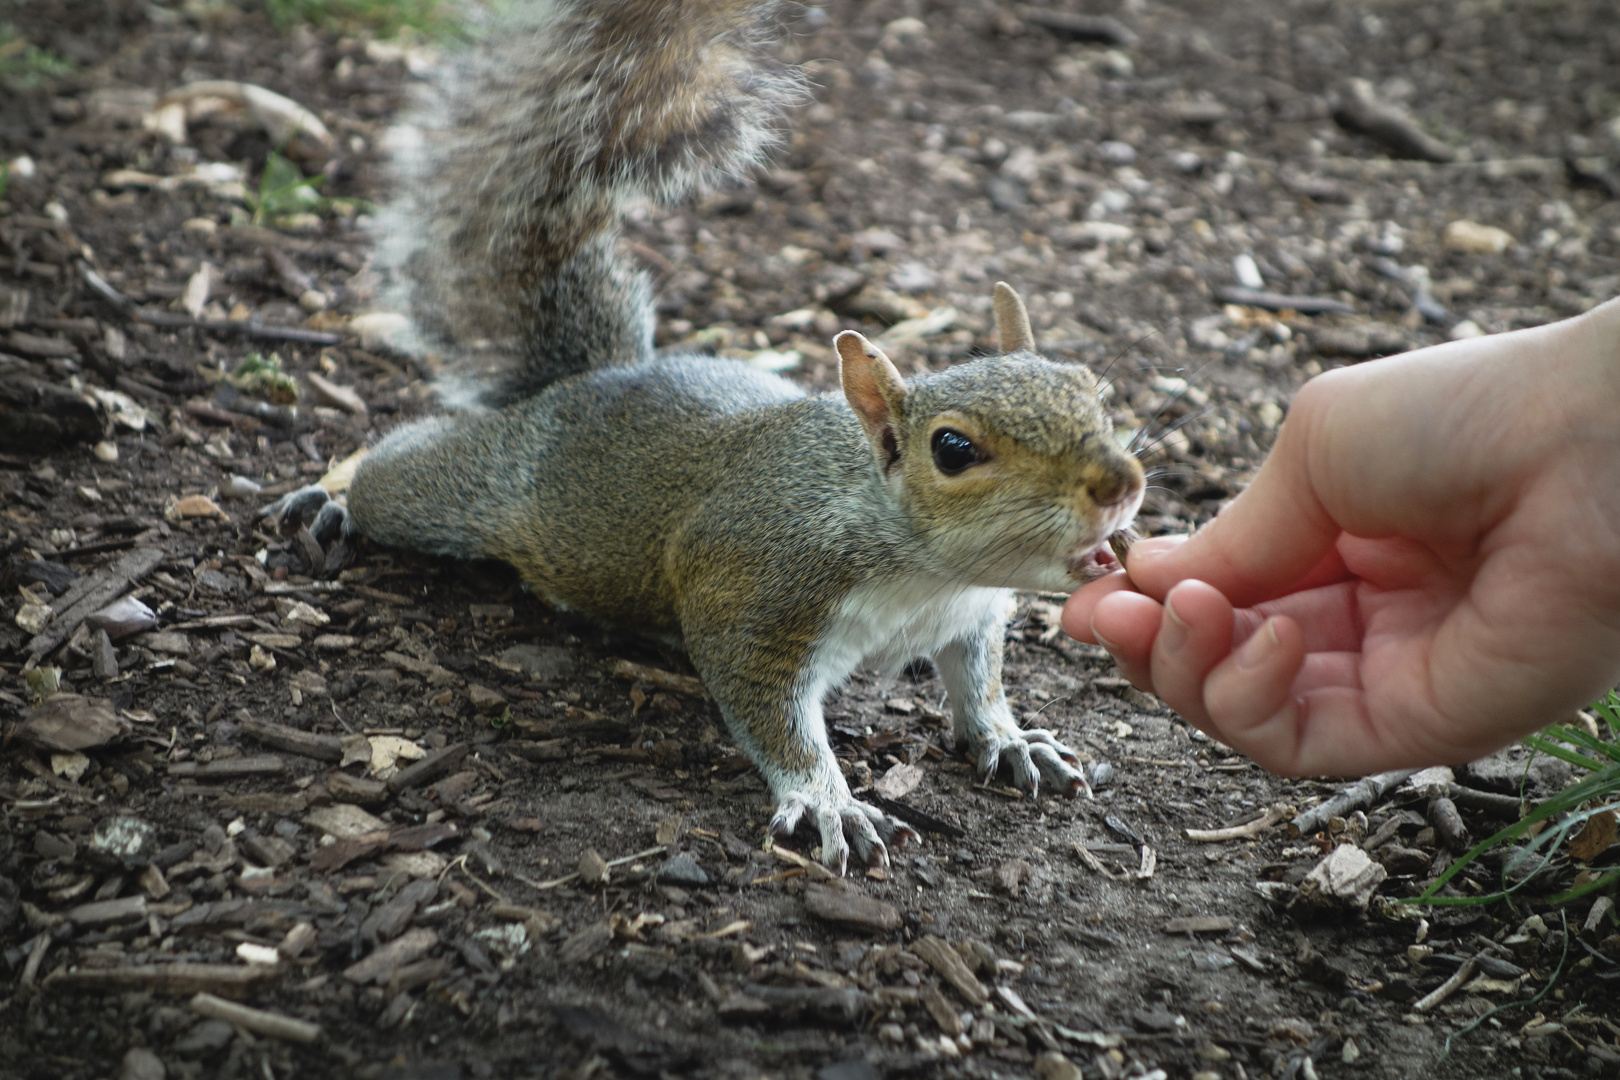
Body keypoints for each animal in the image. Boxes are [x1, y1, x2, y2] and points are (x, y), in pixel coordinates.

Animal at [262, 0, 1140, 880]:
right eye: (954, 450)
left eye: (1096, 390)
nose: (1121, 485)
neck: (928, 573)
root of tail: (588, 381)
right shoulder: (754, 591)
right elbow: (769, 710)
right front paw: (830, 800)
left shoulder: (971, 615)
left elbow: (979, 681)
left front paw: (1009, 738)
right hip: (468, 489)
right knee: (402, 471)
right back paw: (333, 496)